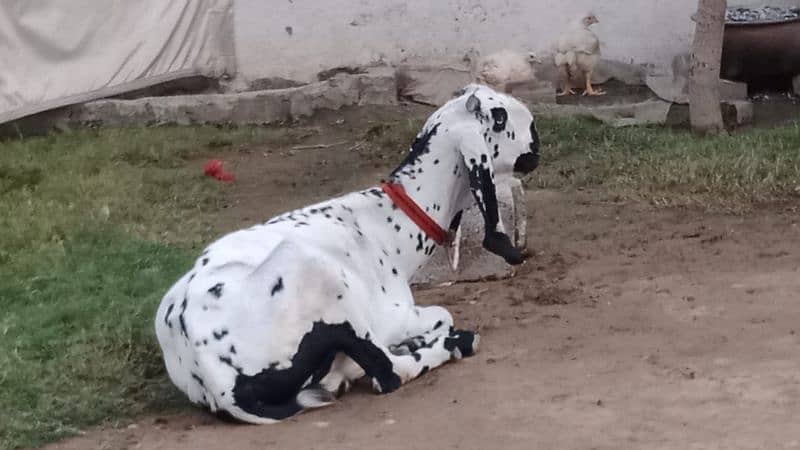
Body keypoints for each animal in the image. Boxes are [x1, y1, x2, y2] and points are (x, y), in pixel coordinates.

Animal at [155, 83, 544, 422]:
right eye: (501, 117)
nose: (536, 143)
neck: (387, 224)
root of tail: (220, 384)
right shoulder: (392, 315)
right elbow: (440, 316)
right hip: (320, 276)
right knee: (389, 373)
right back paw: (452, 344)